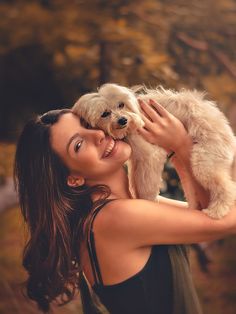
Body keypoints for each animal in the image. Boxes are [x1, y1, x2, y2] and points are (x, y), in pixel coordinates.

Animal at [72, 84, 236, 220]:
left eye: (121, 104)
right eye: (105, 114)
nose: (123, 120)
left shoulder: (150, 157)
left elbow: (146, 184)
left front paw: (148, 202)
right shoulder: (136, 161)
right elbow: (135, 181)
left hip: (204, 163)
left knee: (228, 188)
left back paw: (216, 211)